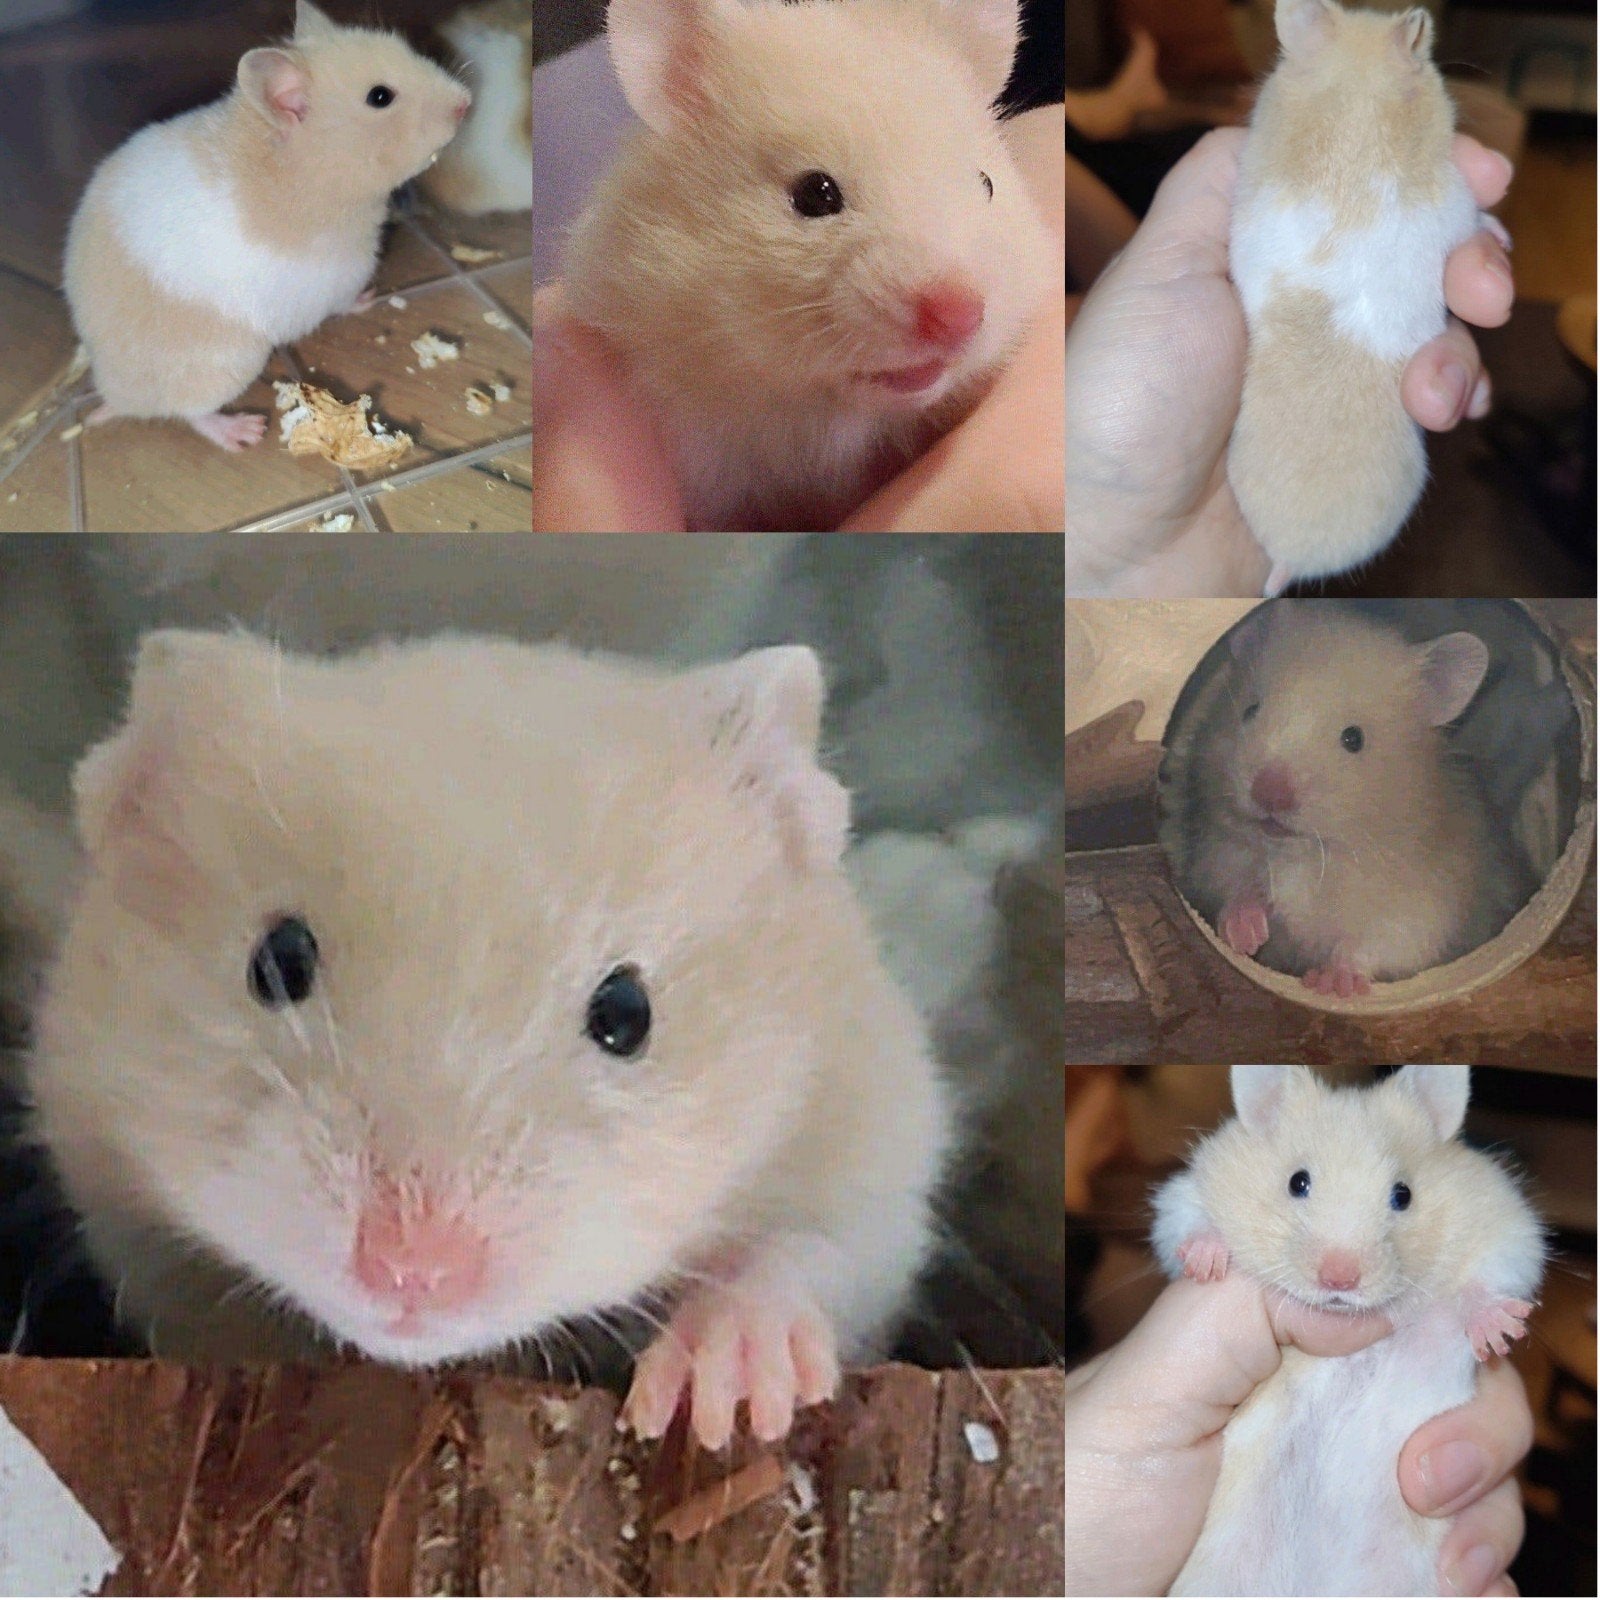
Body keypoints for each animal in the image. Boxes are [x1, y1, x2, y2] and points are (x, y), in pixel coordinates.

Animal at [25, 630, 951, 1449]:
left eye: (628, 1014)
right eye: (278, 962)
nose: (412, 1274)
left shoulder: (874, 1156)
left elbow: (802, 1255)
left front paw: (718, 1402)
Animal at [63, 1, 470, 452]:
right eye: (379, 97)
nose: (467, 102)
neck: (302, 167)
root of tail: (114, 393)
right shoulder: (341, 277)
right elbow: (346, 301)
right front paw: (371, 297)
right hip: (226, 365)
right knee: (191, 413)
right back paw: (245, 432)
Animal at [1151, 1065, 1545, 1597]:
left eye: (1403, 1195)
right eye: (1297, 1182)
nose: (1340, 1280)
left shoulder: (1509, 1228)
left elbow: (1492, 1278)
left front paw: (1498, 1335)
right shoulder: (1188, 1192)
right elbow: (1187, 1221)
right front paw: (1207, 1261)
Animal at [1165, 602, 1534, 997]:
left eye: (1354, 739)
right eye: (1250, 710)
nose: (1269, 793)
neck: (1307, 854)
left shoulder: (1419, 908)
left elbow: (1374, 943)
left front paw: (1329, 983)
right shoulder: (1216, 854)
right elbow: (1231, 888)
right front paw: (1245, 934)